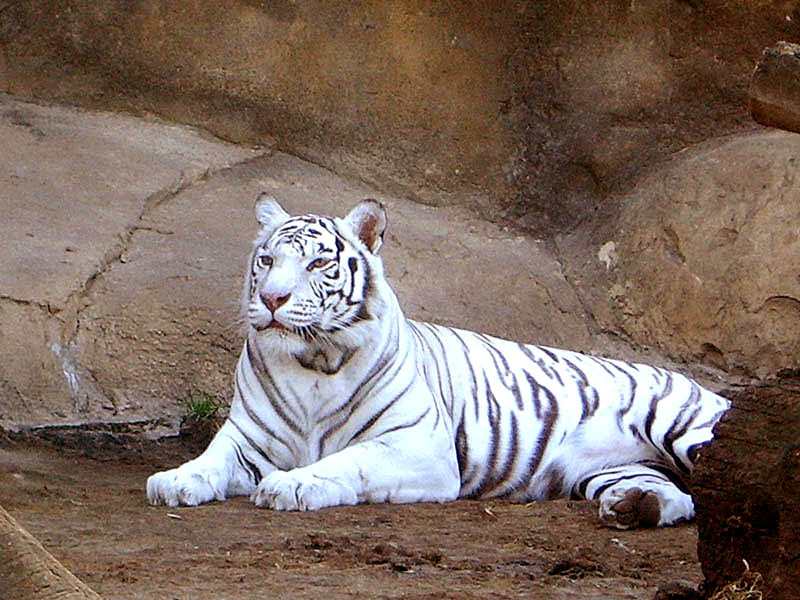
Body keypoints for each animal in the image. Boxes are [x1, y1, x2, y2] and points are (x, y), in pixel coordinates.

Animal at [146, 194, 730, 529]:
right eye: (267, 259)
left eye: (316, 264)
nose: (271, 299)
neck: (313, 360)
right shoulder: (246, 437)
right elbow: (211, 460)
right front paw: (174, 480)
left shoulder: (418, 447)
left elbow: (348, 460)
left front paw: (292, 486)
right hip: (613, 468)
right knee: (677, 497)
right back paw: (636, 507)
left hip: (684, 427)